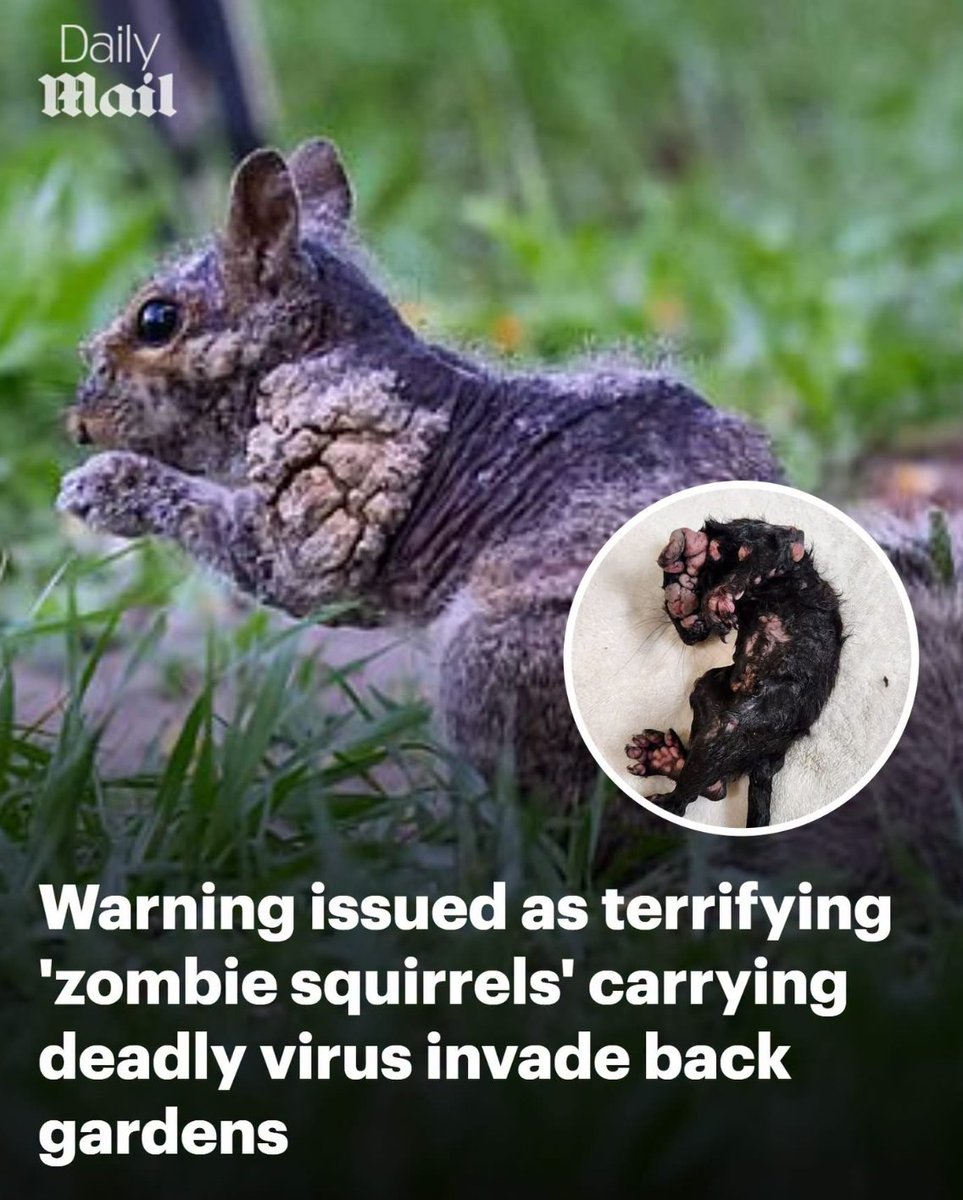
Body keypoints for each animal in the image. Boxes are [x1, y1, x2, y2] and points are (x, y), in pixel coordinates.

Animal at [56, 137, 781, 807]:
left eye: (157, 320)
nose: (78, 423)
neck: (322, 357)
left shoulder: (331, 512)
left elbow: (249, 545)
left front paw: (103, 485)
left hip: (489, 667)